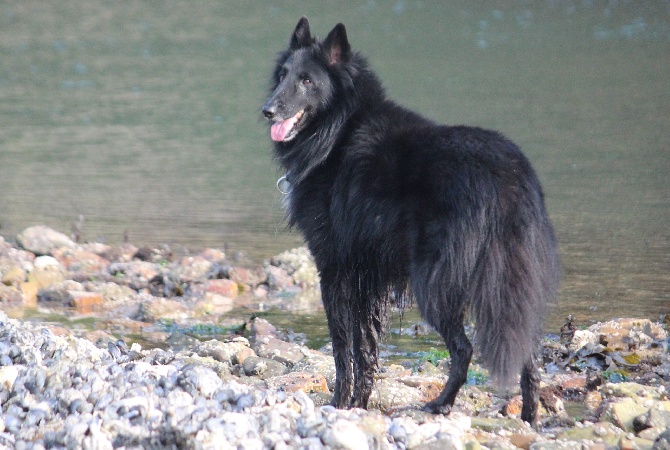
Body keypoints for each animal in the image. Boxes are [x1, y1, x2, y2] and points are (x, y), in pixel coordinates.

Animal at [262, 17, 560, 424]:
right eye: (282, 75)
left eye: (307, 80)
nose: (268, 110)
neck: (338, 130)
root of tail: (508, 175)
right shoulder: (368, 278)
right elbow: (367, 347)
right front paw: (359, 403)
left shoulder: (334, 269)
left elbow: (342, 348)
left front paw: (340, 403)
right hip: (504, 284)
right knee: (526, 351)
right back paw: (529, 416)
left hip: (434, 284)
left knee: (464, 349)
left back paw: (441, 404)